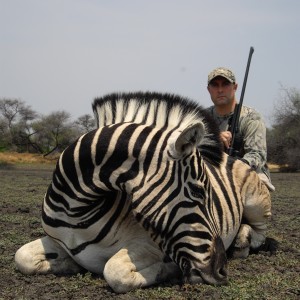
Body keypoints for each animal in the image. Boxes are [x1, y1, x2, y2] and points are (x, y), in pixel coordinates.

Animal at [14, 91, 272, 292]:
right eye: (198, 192)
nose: (222, 271)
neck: (75, 210)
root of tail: (232, 157)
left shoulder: (150, 244)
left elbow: (114, 271)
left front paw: (167, 270)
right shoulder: (56, 241)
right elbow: (21, 257)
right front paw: (71, 265)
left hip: (256, 203)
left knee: (260, 232)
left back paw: (241, 242)